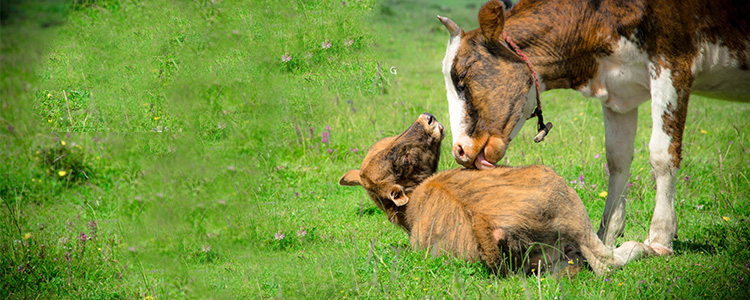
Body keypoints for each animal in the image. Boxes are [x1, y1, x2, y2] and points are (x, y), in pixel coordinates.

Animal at [338, 113, 656, 276]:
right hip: (568, 204)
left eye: (388, 141)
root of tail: (488, 224)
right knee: (605, 261)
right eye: (402, 159)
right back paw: (647, 247)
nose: (427, 118)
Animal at [440, 0, 750, 255]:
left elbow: (662, 154)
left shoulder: (673, 63)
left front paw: (660, 237)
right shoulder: (619, 90)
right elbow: (617, 159)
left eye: (462, 75)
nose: (459, 150)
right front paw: (607, 234)